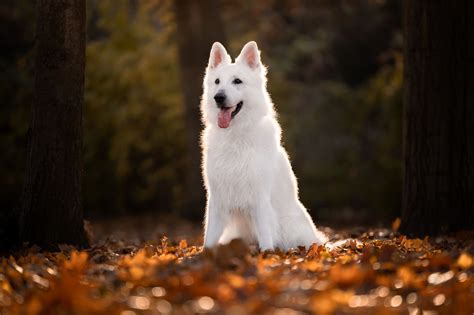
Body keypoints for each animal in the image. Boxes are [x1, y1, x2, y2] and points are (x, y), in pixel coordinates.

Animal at [199, 40, 326, 251]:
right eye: (217, 82)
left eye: (237, 81)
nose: (218, 97)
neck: (236, 136)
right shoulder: (217, 198)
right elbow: (209, 239)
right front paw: (204, 255)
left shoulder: (259, 197)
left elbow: (266, 235)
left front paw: (267, 254)